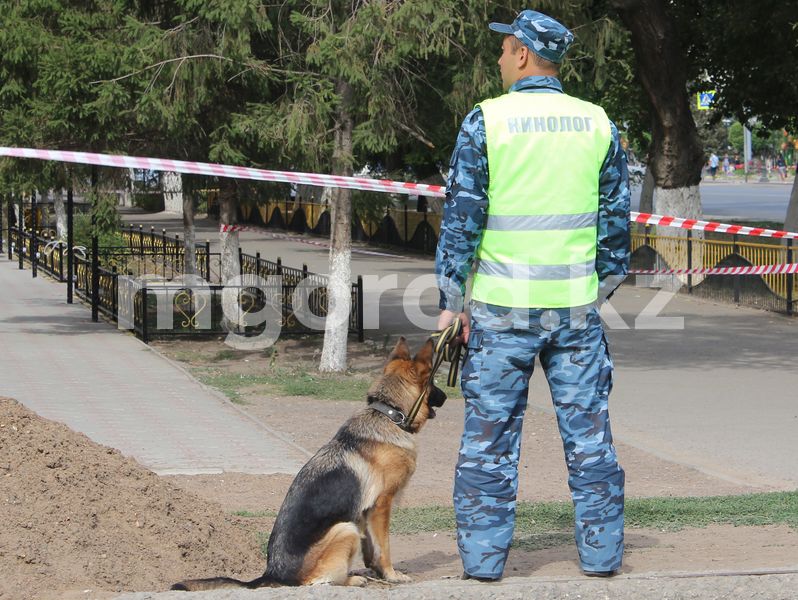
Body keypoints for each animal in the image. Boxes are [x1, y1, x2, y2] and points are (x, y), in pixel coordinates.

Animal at [174, 338, 446, 592]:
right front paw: (391, 575)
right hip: (344, 529)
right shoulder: (382, 505)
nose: (446, 395)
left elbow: (372, 550)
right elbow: (385, 547)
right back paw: (351, 579)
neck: (388, 414)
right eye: (433, 381)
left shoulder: (366, 513)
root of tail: (272, 573)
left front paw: (378, 572)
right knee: (317, 582)